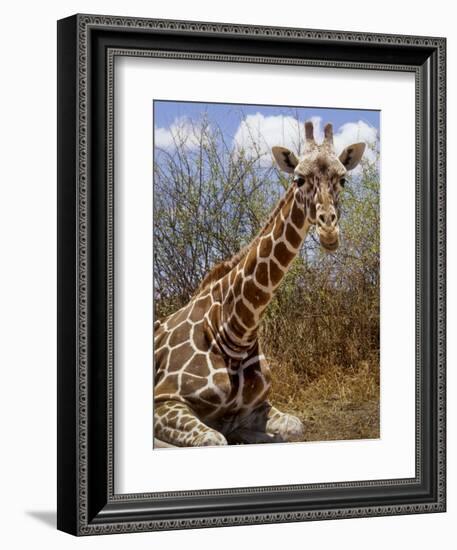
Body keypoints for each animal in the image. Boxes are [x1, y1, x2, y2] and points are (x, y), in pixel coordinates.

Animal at [153, 121, 364, 448]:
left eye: (342, 180)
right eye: (298, 179)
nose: (329, 230)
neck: (234, 329)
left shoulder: (256, 407)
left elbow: (293, 427)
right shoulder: (164, 399)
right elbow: (213, 439)